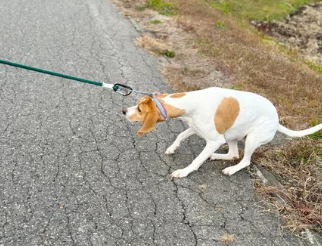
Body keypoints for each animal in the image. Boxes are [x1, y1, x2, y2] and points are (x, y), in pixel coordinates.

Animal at [122, 87, 320, 178]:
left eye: (139, 110)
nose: (124, 111)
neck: (192, 102)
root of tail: (277, 119)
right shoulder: (195, 128)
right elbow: (180, 135)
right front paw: (173, 148)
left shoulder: (214, 140)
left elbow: (196, 160)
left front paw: (184, 172)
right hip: (231, 134)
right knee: (233, 154)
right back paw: (216, 156)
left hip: (252, 138)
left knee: (245, 160)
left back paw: (231, 169)